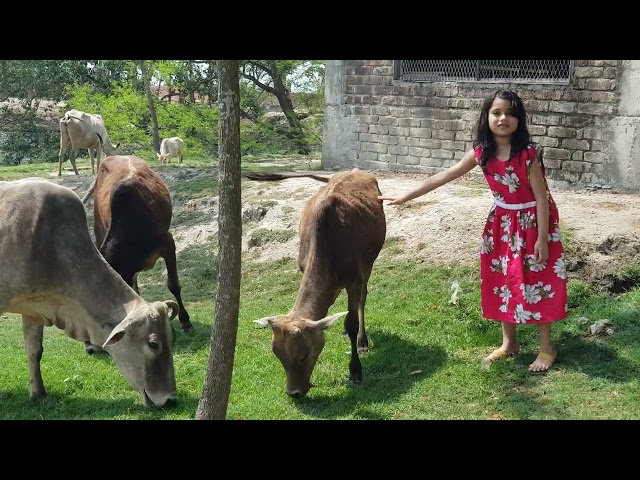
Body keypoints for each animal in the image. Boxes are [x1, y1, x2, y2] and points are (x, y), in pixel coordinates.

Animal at [0, 178, 180, 406]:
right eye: (153, 344)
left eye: (172, 339)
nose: (170, 399)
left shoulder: (34, 308)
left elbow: (35, 351)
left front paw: (38, 393)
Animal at [248, 169, 388, 398]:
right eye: (277, 355)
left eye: (304, 355)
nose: (294, 392)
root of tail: (355, 170)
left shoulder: (355, 279)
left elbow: (351, 321)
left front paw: (355, 370)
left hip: (369, 261)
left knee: (363, 299)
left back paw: (362, 340)